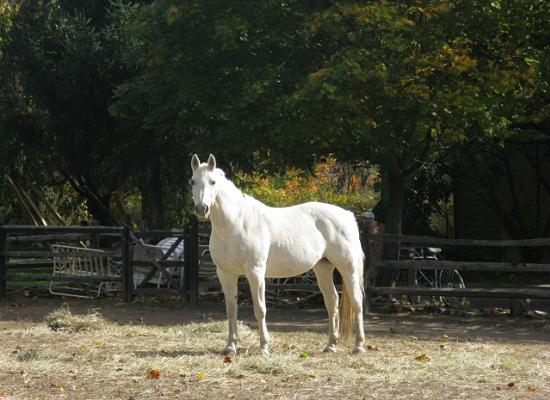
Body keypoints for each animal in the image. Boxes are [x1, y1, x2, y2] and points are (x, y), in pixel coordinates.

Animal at [190, 153, 366, 354]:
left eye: (213, 181)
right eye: (192, 181)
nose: (201, 209)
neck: (237, 223)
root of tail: (347, 214)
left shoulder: (255, 272)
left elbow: (260, 309)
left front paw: (264, 347)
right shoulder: (225, 273)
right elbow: (231, 309)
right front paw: (230, 347)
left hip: (348, 267)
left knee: (356, 301)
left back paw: (359, 346)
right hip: (323, 267)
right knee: (332, 301)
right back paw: (330, 345)